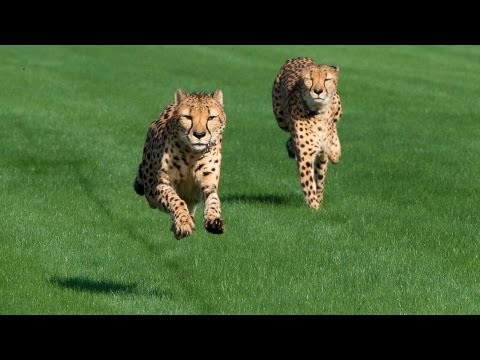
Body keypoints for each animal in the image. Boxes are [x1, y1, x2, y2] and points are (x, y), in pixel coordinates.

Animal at [134, 88, 226, 239]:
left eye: (211, 117)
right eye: (187, 117)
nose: (199, 134)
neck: (192, 154)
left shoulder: (209, 185)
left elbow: (214, 201)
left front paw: (214, 220)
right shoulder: (161, 185)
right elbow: (175, 200)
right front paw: (183, 223)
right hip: (150, 193)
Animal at [272, 55, 344, 208]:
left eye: (327, 79)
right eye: (309, 79)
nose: (318, 91)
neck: (319, 113)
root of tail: (300, 57)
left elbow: (319, 181)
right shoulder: (306, 156)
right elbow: (309, 185)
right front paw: (314, 208)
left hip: (338, 104)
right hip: (281, 119)